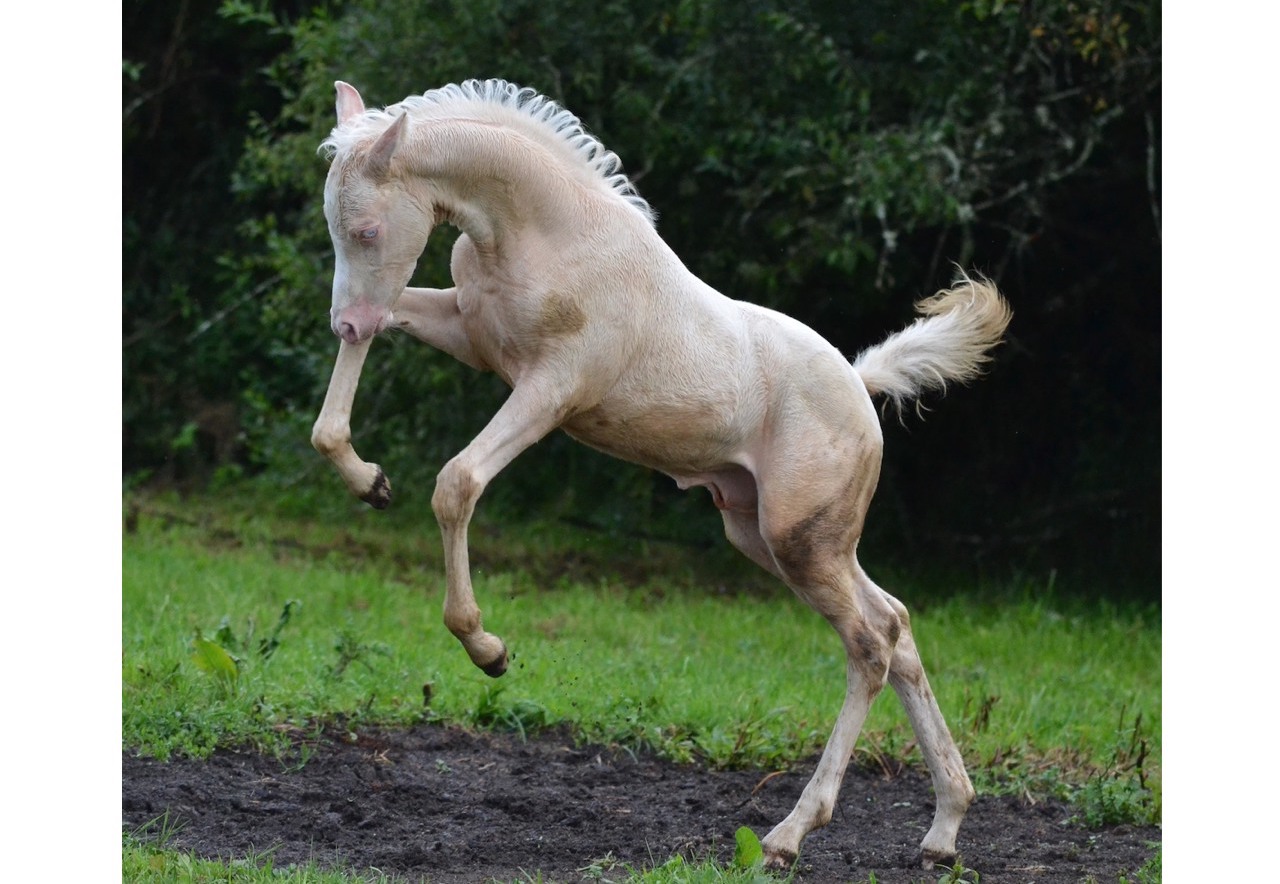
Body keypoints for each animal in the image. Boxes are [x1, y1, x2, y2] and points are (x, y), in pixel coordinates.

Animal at [309, 79, 1008, 869]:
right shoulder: (468, 333)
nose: (345, 321)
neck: (542, 230)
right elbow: (355, 385)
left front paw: (488, 649)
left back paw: (789, 835)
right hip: (770, 535)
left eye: (367, 231)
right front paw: (368, 481)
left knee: (869, 645)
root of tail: (863, 389)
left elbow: (457, 481)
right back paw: (943, 830)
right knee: (896, 623)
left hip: (799, 539)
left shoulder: (552, 387)